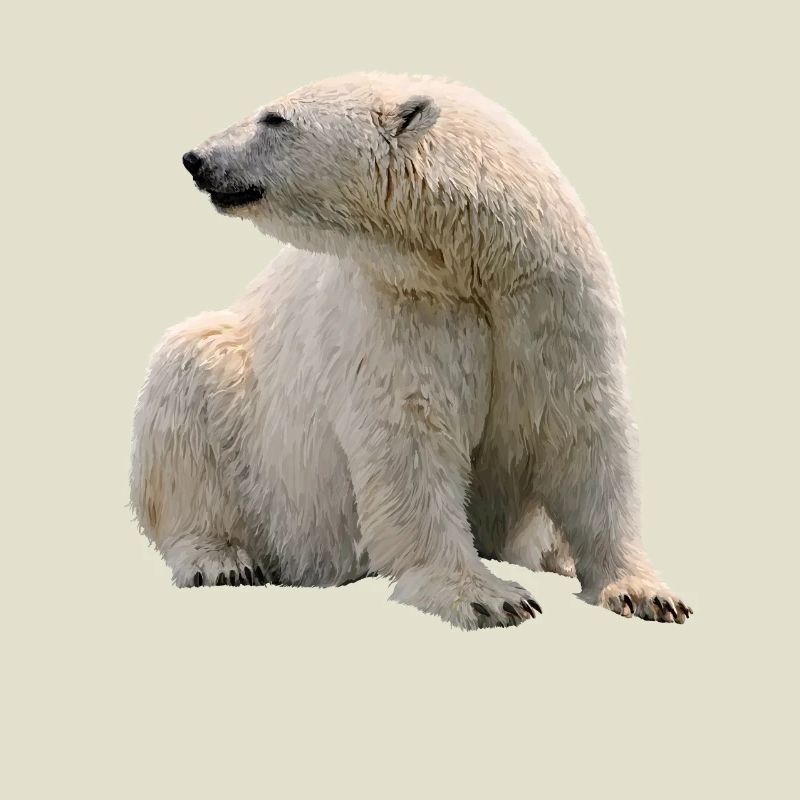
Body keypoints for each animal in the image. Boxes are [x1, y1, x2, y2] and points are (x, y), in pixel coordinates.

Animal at [130, 72, 692, 629]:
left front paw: (646, 593)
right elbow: (411, 436)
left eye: (275, 118)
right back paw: (220, 559)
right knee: (186, 390)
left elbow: (582, 427)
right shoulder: (402, 307)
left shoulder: (550, 303)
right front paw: (491, 598)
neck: (472, 259)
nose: (196, 158)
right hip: (244, 408)